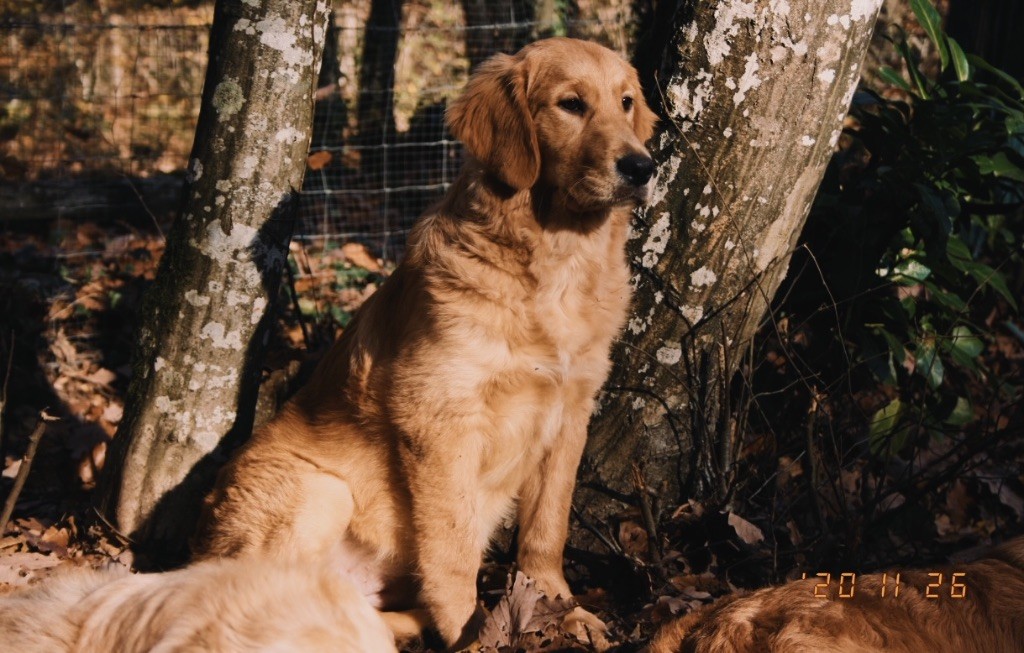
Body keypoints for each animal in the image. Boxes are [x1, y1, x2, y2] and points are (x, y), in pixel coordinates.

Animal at [192, 38, 655, 650]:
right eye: (571, 104)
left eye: (625, 102)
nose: (642, 167)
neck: (555, 263)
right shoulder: (439, 419)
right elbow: (452, 548)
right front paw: (471, 634)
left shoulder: (570, 412)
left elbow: (547, 527)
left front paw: (564, 609)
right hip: (318, 493)